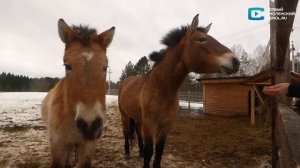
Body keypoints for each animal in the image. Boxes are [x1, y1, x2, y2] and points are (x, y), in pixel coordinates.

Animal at [118, 14, 240, 168]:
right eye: (201, 39)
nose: (236, 62)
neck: (161, 89)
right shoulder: (150, 124)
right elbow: (149, 152)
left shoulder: (165, 126)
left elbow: (158, 152)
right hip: (124, 116)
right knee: (126, 133)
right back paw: (127, 153)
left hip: (138, 119)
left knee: (137, 133)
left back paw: (138, 152)